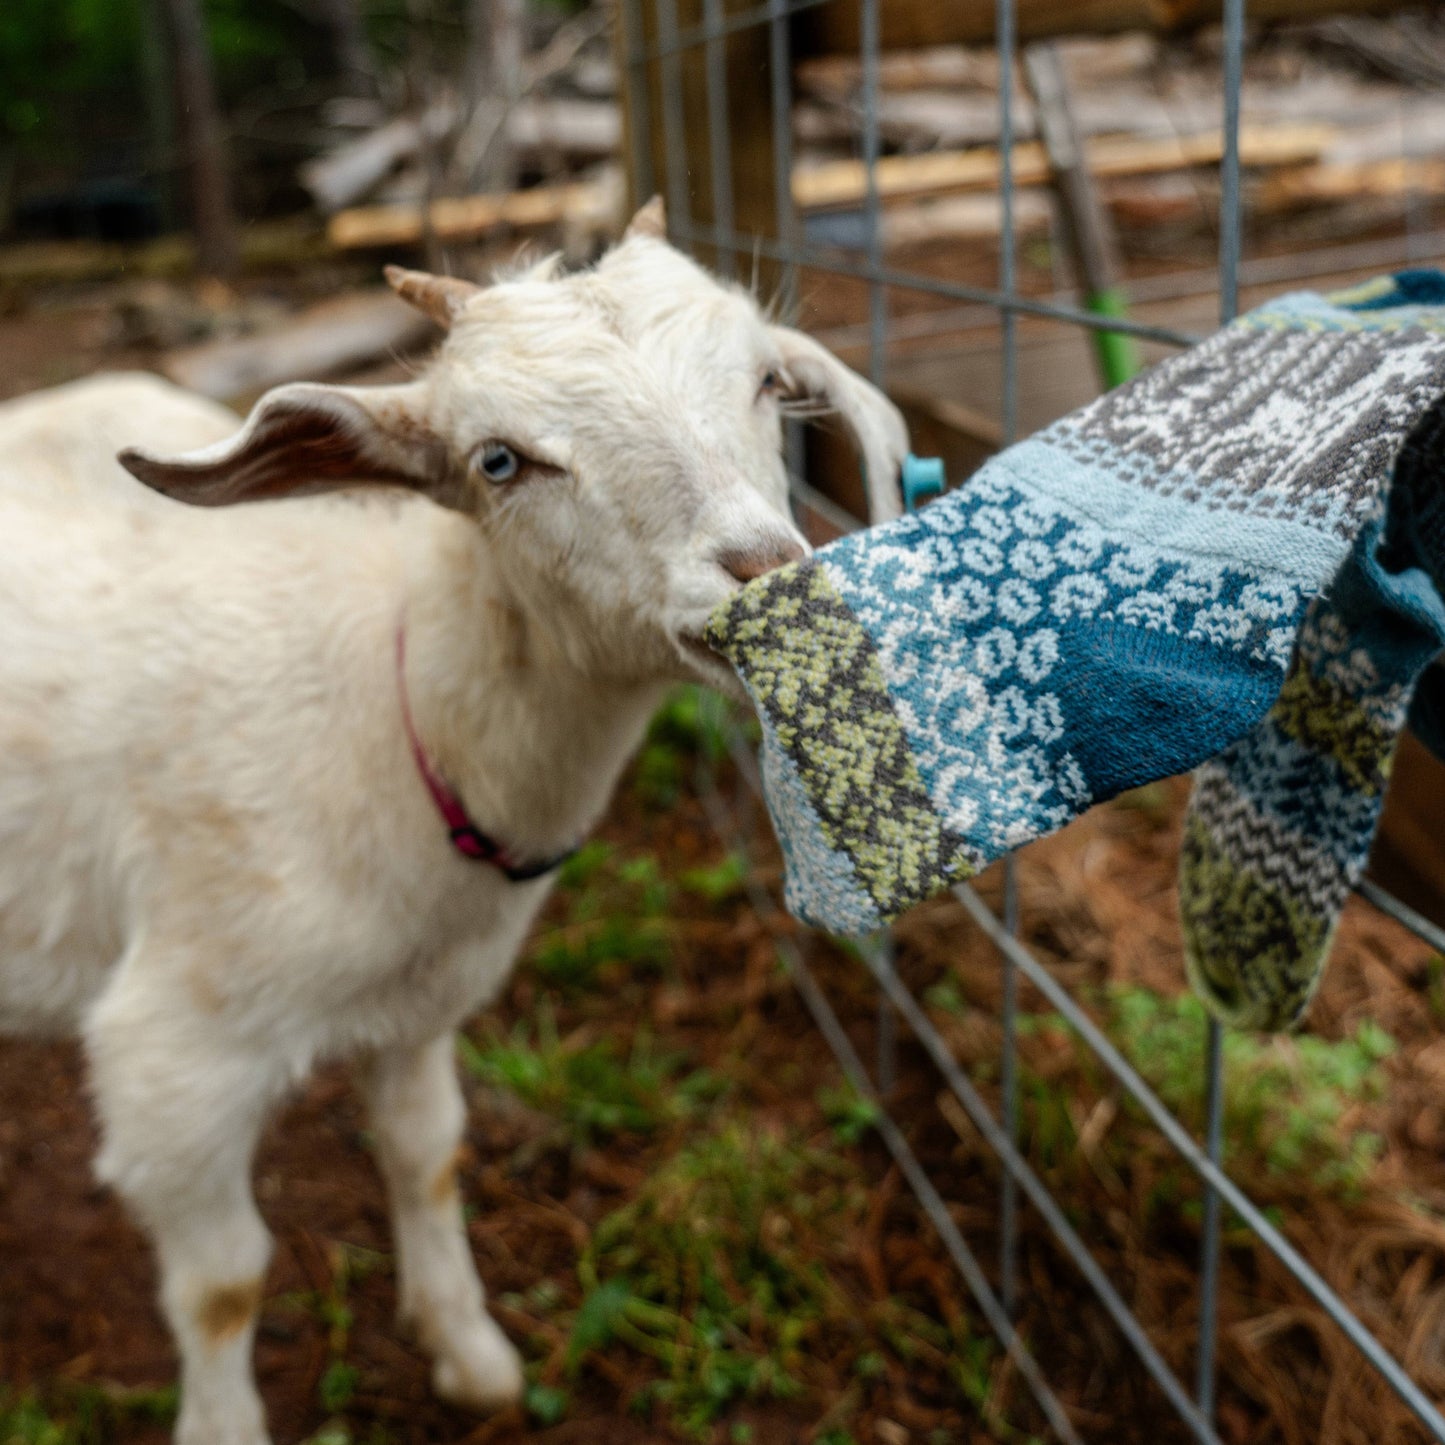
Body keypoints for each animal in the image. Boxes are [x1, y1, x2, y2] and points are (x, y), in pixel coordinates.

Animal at [0, 200, 908, 1445]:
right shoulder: (174, 1053)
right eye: (499, 460)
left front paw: (468, 1351)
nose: (772, 591)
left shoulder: (425, 1000)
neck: (395, 711)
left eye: (770, 382)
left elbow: (426, 1154)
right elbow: (224, 1280)